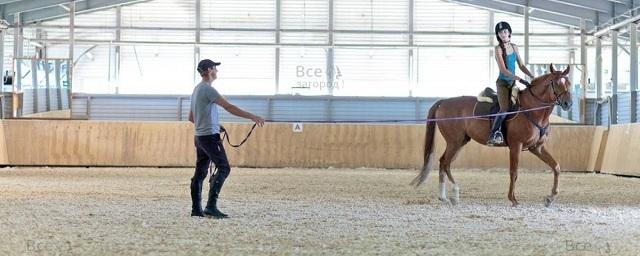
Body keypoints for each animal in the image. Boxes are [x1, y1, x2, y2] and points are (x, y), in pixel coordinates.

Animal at [412, 63, 572, 206]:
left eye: (569, 83)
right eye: (556, 83)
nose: (568, 104)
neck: (532, 109)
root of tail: (444, 102)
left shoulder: (537, 147)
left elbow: (556, 167)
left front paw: (550, 198)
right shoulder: (516, 146)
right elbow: (514, 172)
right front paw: (513, 199)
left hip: (460, 142)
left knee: (444, 162)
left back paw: (444, 197)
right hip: (454, 142)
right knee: (445, 162)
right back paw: (454, 194)